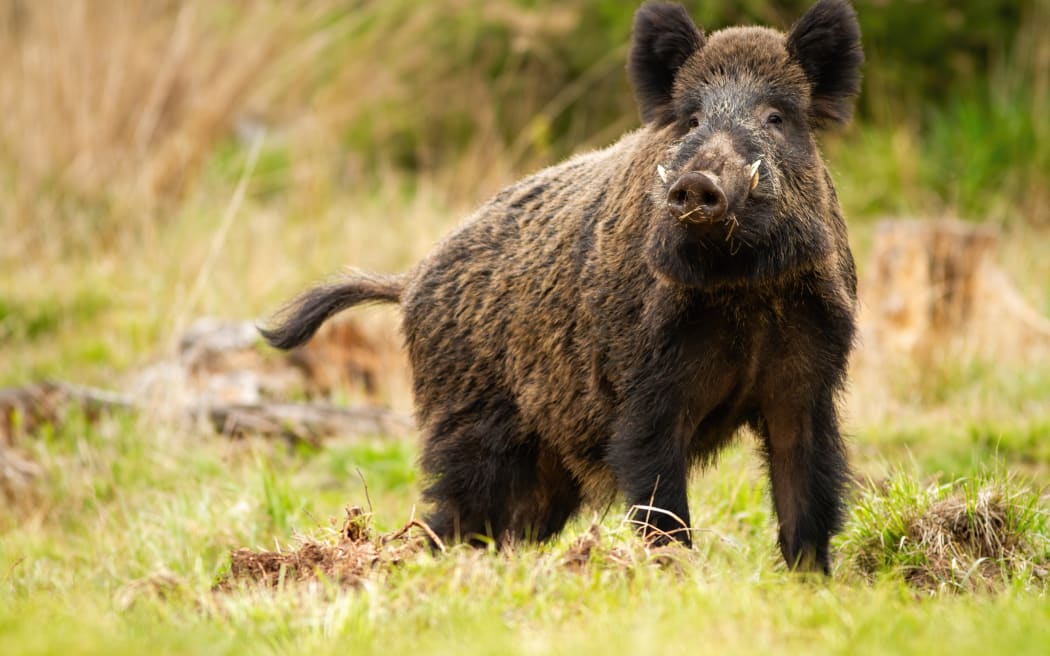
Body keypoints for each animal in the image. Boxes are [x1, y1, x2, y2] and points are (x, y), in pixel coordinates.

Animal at [262, 0, 863, 573]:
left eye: (776, 116)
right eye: (691, 118)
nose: (698, 181)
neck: (743, 290)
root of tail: (411, 280)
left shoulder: (807, 384)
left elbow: (807, 492)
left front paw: (812, 581)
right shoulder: (644, 390)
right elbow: (661, 502)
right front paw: (672, 573)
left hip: (543, 462)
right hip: (468, 422)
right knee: (451, 515)